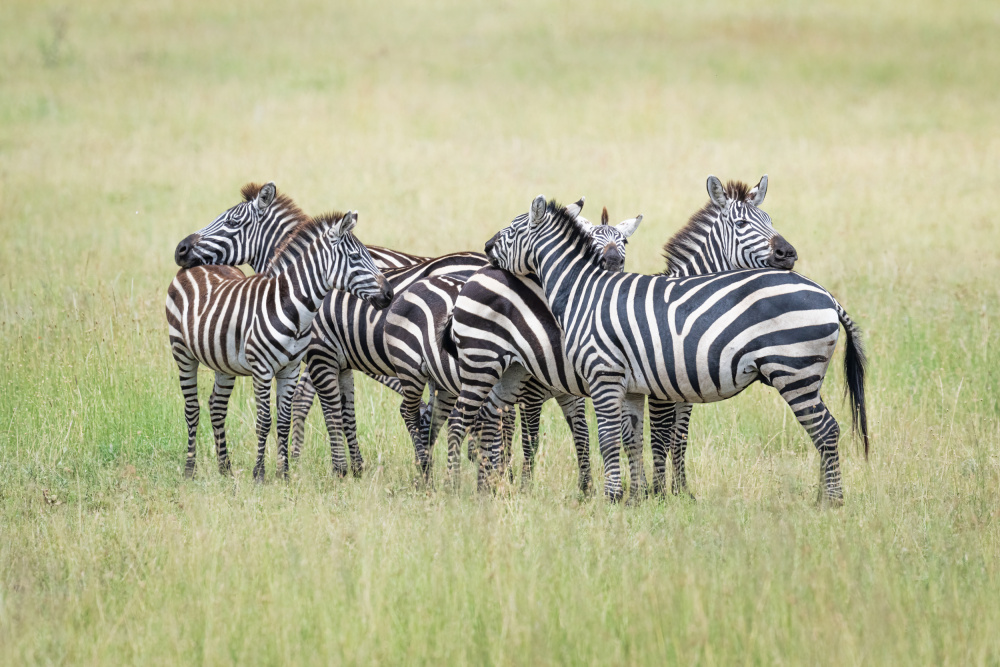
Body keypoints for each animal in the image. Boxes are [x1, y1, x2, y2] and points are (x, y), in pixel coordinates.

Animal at [482, 190, 868, 504]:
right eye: (744, 223)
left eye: (512, 230)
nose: (486, 248)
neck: (584, 289)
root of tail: (828, 295)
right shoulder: (641, 386)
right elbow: (641, 439)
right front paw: (641, 497)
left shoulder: (609, 376)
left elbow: (625, 438)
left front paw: (625, 498)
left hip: (795, 373)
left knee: (826, 429)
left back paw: (830, 501)